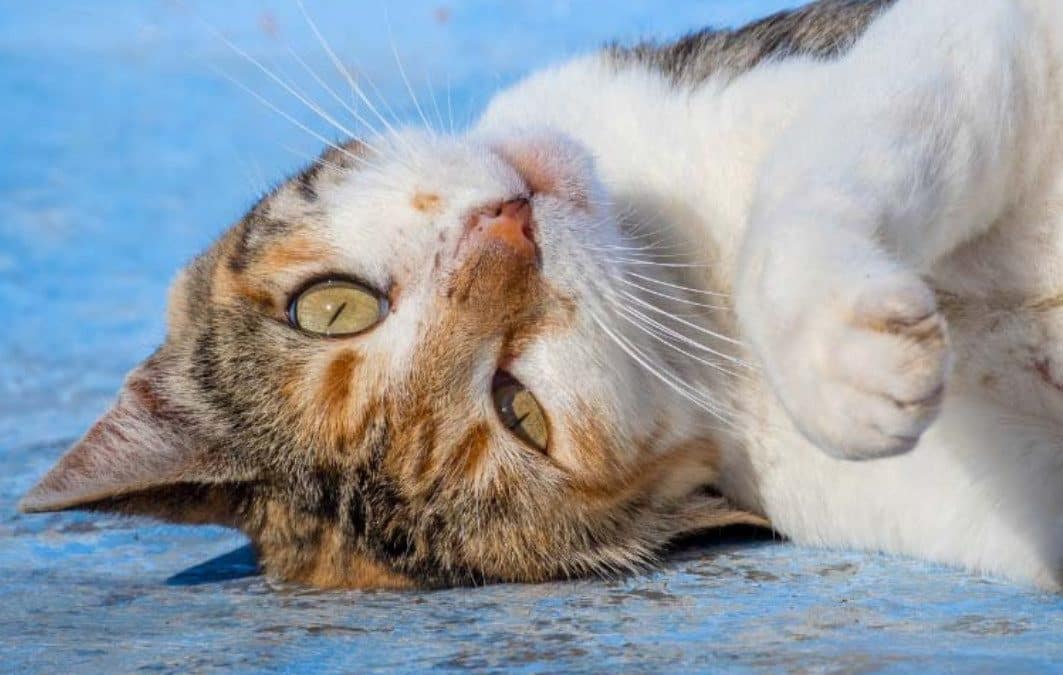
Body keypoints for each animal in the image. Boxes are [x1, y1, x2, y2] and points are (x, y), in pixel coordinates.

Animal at [16, 0, 1063, 591]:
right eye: (520, 409)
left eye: (331, 305)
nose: (508, 228)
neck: (687, 265)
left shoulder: (934, 41)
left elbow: (840, 151)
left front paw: (835, 354)